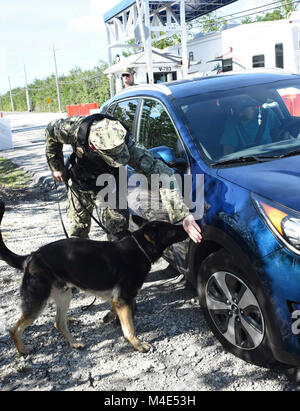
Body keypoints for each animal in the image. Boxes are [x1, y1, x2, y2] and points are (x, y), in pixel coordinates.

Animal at [0, 203, 188, 358]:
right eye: (172, 229)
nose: (186, 224)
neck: (139, 247)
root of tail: (31, 257)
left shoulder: (119, 298)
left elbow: (116, 310)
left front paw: (110, 316)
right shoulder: (123, 298)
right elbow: (129, 328)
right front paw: (138, 344)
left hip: (64, 296)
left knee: (59, 323)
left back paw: (74, 343)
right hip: (37, 303)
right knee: (14, 329)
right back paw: (22, 350)